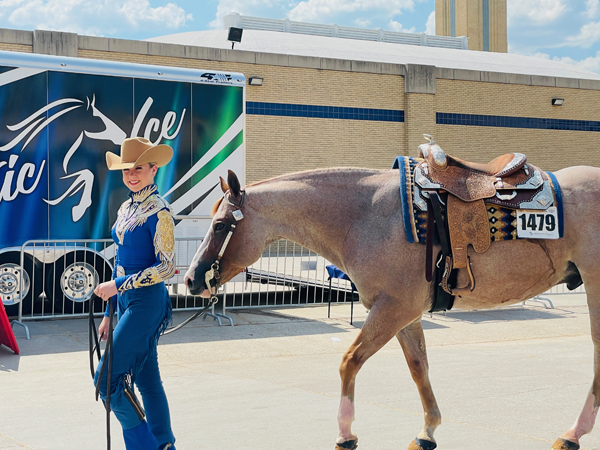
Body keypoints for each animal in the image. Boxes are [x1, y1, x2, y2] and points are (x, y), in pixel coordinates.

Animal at [184, 163, 600, 450]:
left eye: (220, 225)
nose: (190, 280)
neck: (365, 216)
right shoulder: (404, 314)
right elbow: (419, 368)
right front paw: (427, 431)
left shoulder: (392, 309)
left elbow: (349, 361)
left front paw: (346, 434)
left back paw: (573, 433)